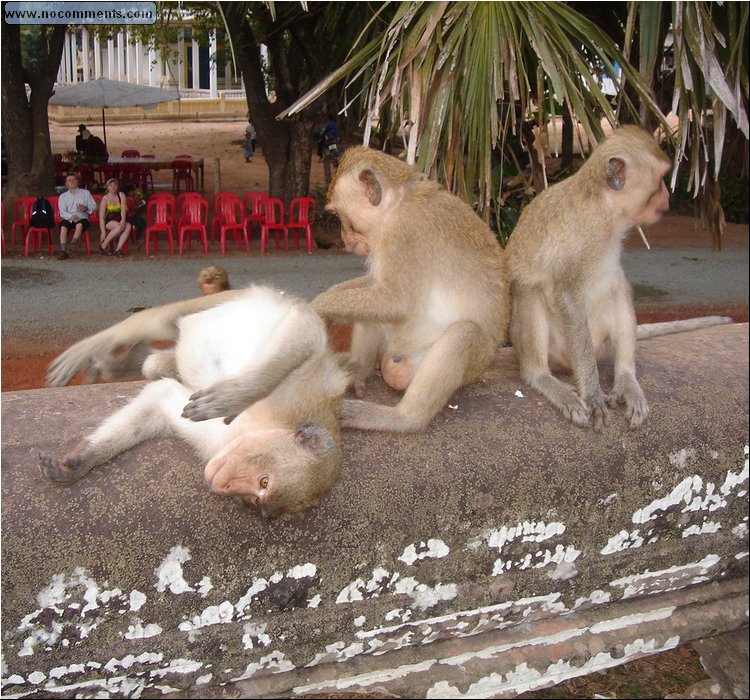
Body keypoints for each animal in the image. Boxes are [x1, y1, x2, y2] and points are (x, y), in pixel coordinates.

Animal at [43, 284, 352, 520]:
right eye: (264, 482)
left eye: (255, 500)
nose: (225, 487)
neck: (263, 426)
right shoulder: (298, 394)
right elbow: (306, 330)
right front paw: (236, 395)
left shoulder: (220, 440)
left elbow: (160, 398)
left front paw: (83, 459)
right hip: (231, 298)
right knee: (163, 322)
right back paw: (106, 348)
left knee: (155, 364)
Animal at [312, 146, 512, 432]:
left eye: (342, 218)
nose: (344, 239)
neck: (396, 203)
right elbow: (378, 290)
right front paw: (330, 294)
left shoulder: (404, 235)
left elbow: (394, 302)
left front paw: (316, 307)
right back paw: (358, 371)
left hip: (453, 362)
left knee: (464, 332)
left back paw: (400, 419)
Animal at [506, 126, 676, 432]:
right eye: (659, 181)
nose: (667, 197)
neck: (605, 207)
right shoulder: (585, 236)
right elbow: (566, 296)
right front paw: (593, 393)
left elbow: (617, 286)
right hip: (559, 349)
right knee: (530, 291)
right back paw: (540, 376)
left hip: (599, 341)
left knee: (617, 287)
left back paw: (626, 377)